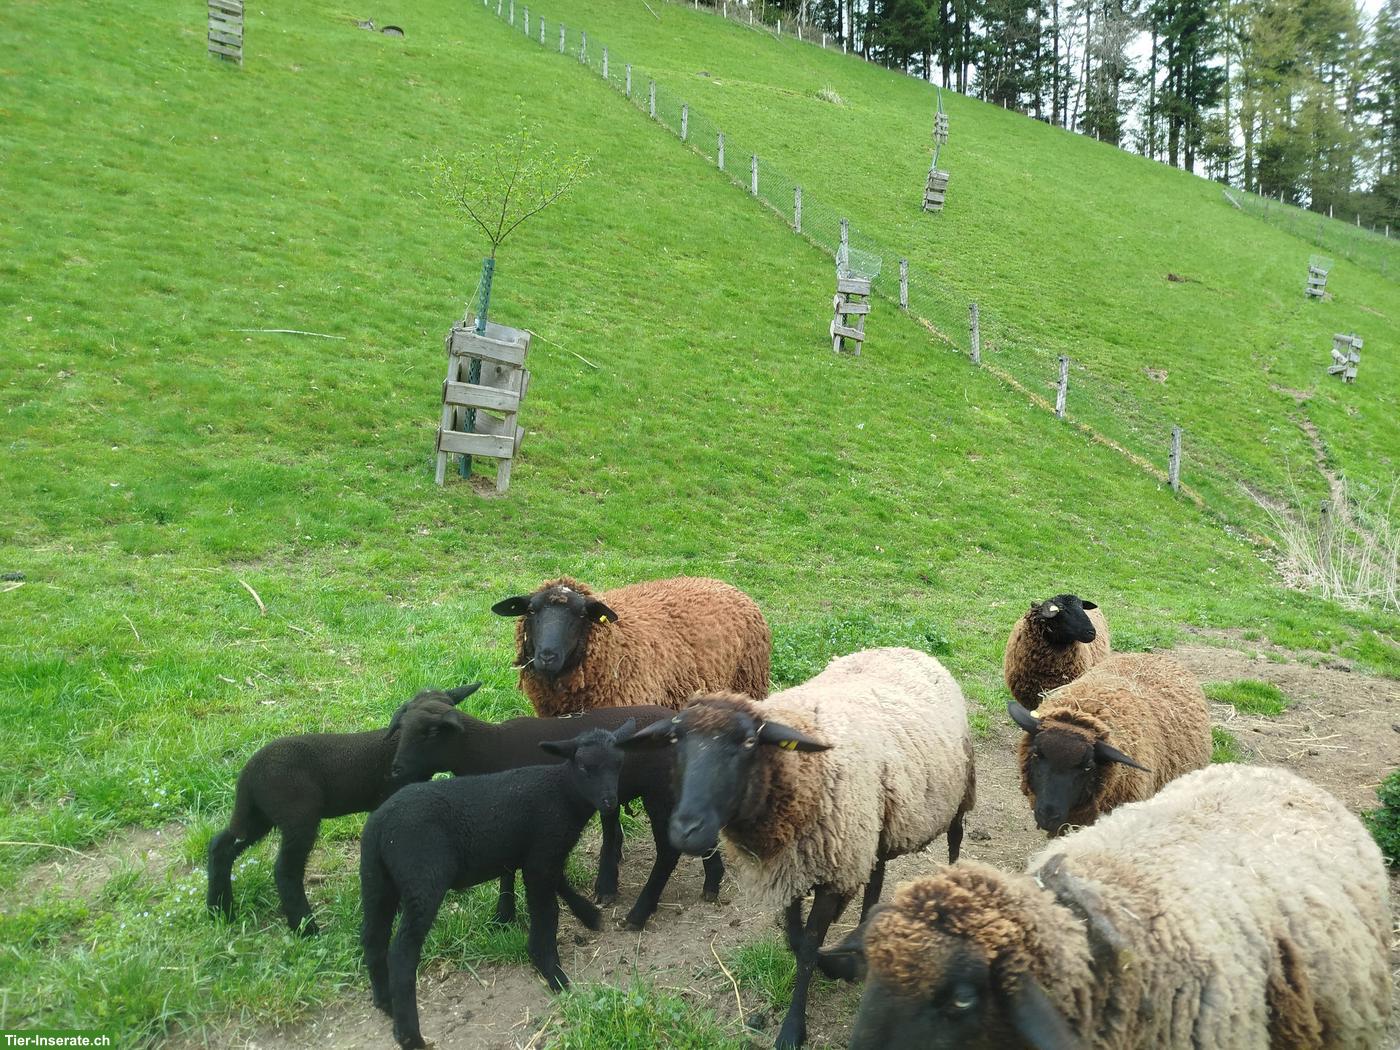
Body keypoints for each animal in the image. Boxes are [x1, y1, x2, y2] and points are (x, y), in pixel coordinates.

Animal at [205, 683, 481, 935]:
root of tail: (248, 776)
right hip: (298, 816)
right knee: (285, 869)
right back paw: (306, 928)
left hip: (258, 815)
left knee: (221, 846)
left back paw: (220, 912)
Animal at [359, 721, 635, 1050]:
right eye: (583, 766)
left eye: (619, 764)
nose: (610, 802)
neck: (563, 794)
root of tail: (380, 826)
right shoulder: (544, 849)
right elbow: (547, 911)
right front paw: (551, 970)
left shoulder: (539, 853)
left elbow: (560, 884)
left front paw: (588, 916)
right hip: (423, 877)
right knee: (402, 953)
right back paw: (410, 1035)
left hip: (376, 879)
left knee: (373, 938)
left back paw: (384, 1002)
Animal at [386, 699, 724, 930]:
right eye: (401, 728)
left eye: (431, 732)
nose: (396, 770)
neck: (490, 750)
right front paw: (502, 918)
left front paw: (505, 914)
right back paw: (712, 884)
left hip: (658, 792)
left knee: (668, 851)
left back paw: (639, 914)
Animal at [620, 647, 975, 1050]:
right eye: (675, 741)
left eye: (748, 742)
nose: (685, 831)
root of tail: (906, 649)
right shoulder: (791, 868)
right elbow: (794, 939)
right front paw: (836, 963)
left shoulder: (832, 871)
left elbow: (806, 947)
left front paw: (793, 1026)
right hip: (876, 820)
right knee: (876, 873)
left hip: (959, 790)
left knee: (954, 841)